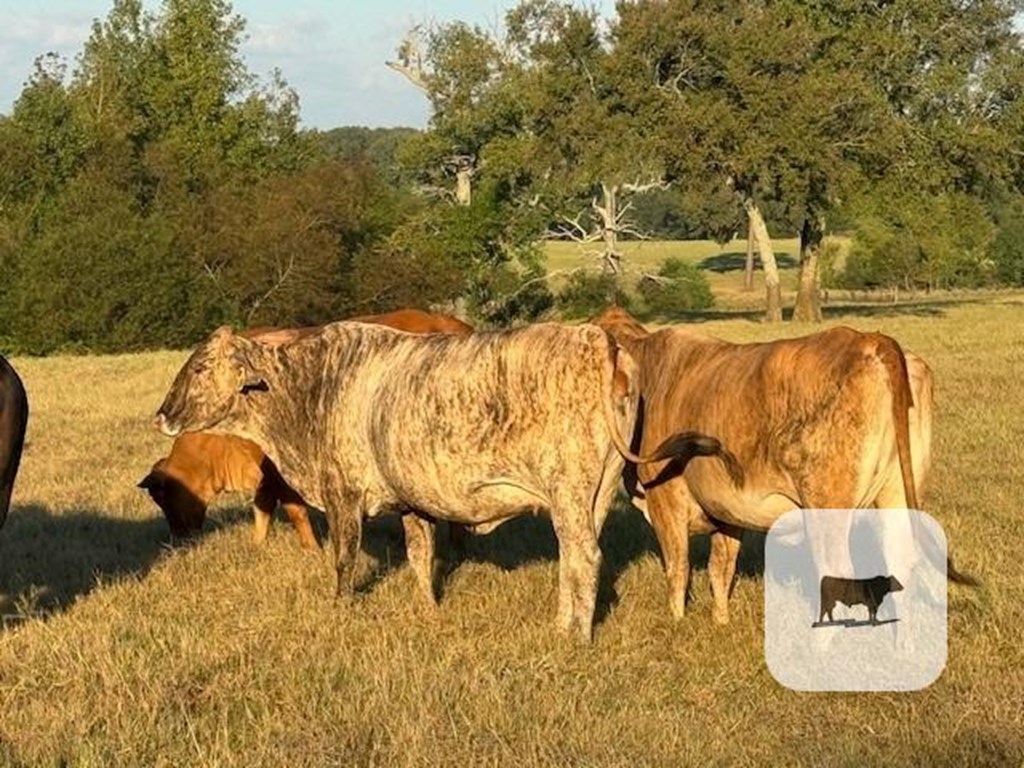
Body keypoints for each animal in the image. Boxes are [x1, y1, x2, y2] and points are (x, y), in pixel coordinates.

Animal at [141, 307, 475, 548]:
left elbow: (294, 511)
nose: (178, 541)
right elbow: (262, 509)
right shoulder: (267, 479)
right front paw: (257, 543)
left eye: (164, 498)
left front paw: (312, 548)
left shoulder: (279, 473)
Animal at [593, 307, 974, 626]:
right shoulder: (727, 510)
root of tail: (869, 339)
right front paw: (721, 621)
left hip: (826, 510)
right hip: (896, 496)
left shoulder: (665, 499)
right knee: (899, 564)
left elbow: (677, 569)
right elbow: (721, 570)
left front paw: (677, 622)